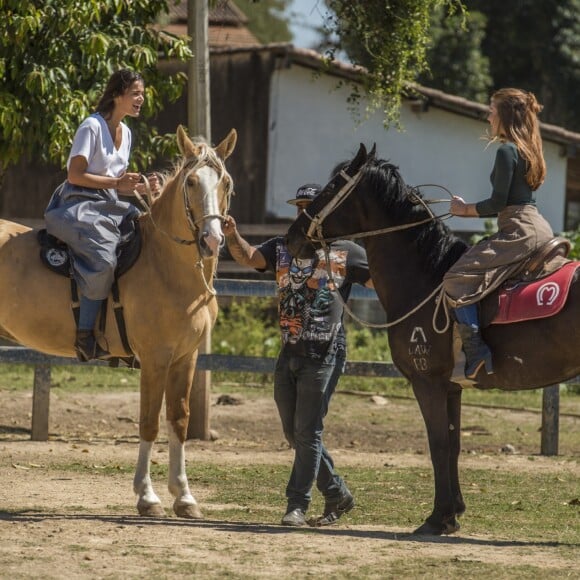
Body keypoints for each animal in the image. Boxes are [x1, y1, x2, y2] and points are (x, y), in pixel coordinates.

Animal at [0, 125, 237, 516]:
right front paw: (147, 496)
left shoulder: (185, 359)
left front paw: (184, 496)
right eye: (190, 182)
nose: (212, 239)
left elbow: (179, 420)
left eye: (226, 182)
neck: (164, 264)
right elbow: (149, 423)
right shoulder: (155, 360)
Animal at [286, 144, 580, 536]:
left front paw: (438, 517)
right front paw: (453, 512)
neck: (428, 278)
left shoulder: (428, 383)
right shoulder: (452, 388)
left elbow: (438, 445)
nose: (293, 236)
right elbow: (453, 445)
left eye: (333, 186)